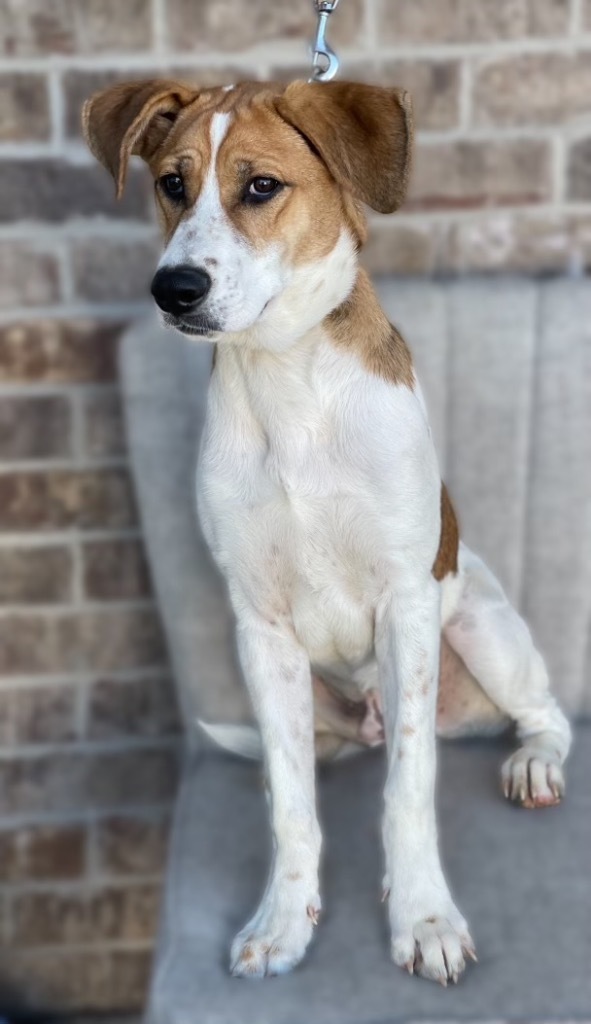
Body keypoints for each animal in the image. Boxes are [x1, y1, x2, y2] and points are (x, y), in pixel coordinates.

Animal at [83, 81, 573, 991]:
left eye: (260, 187)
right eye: (171, 184)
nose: (173, 289)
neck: (287, 382)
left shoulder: (406, 606)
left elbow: (408, 790)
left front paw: (423, 919)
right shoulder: (262, 629)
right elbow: (290, 805)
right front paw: (283, 919)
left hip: (479, 629)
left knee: (543, 712)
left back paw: (533, 764)